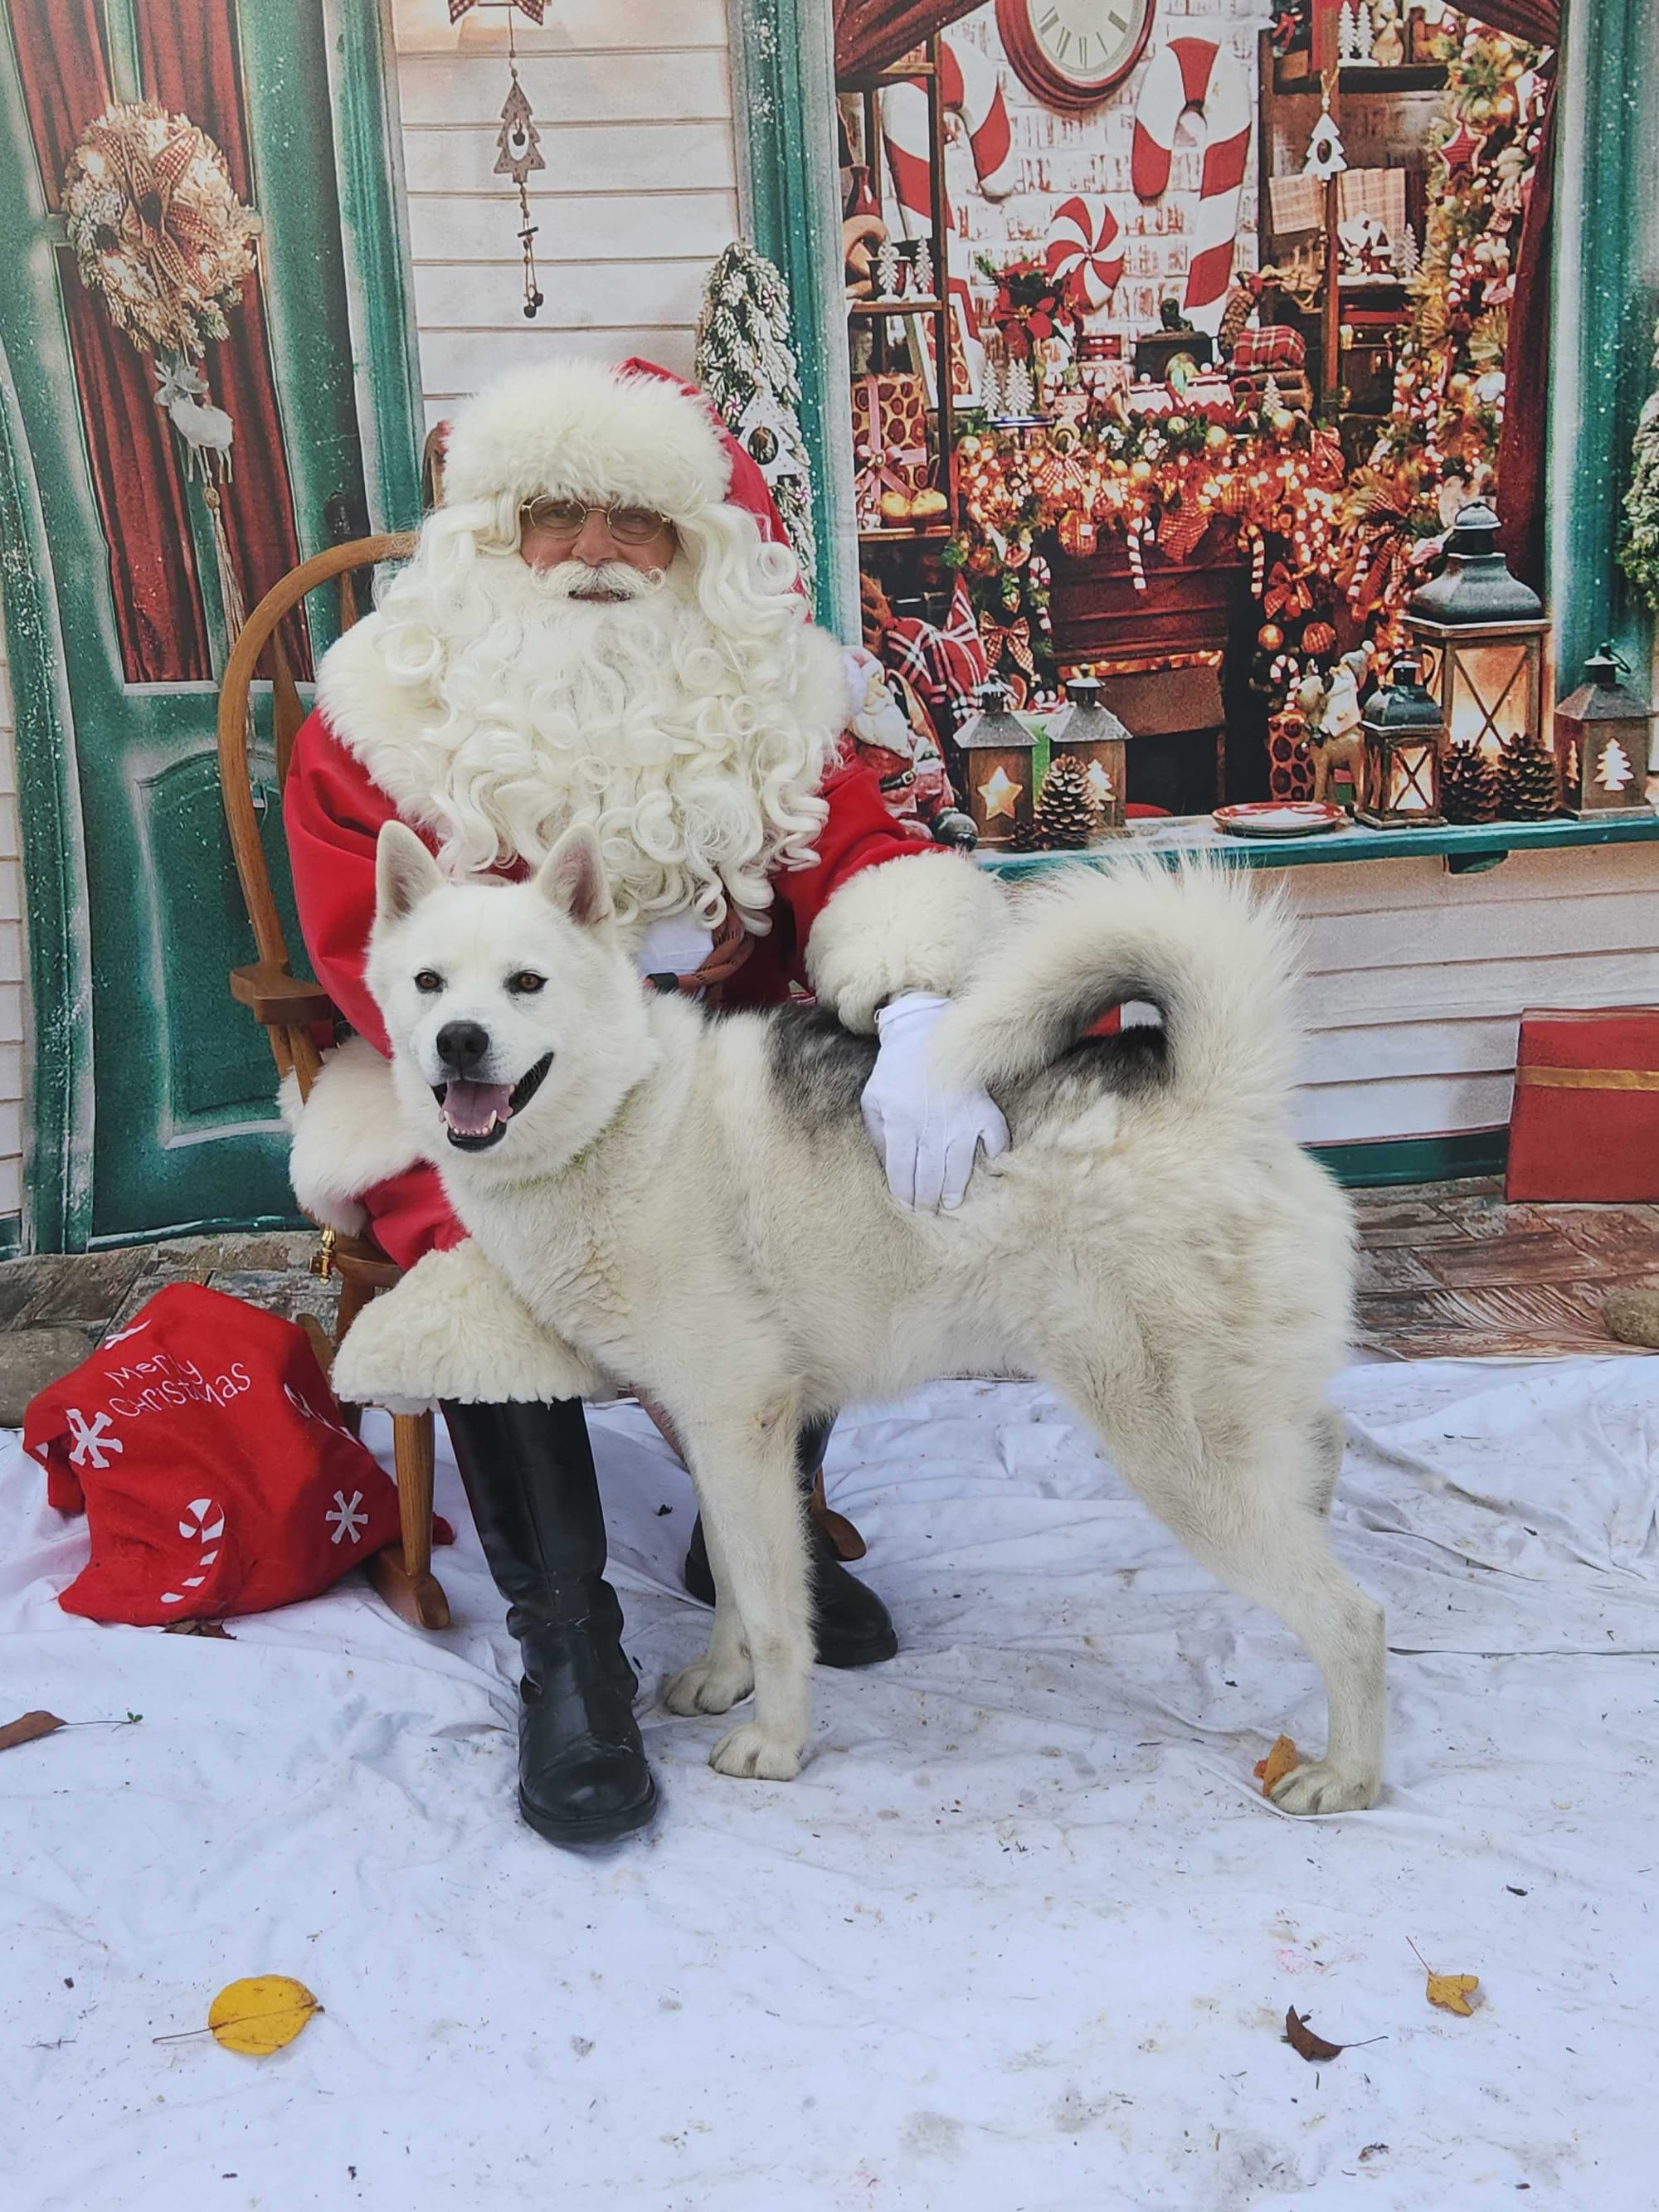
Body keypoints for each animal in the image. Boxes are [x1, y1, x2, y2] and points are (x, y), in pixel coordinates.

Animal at [360, 827, 1389, 1813]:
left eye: (526, 983)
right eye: (428, 983)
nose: (458, 1041)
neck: (623, 1115)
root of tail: (1212, 1093)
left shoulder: (737, 1423)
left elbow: (774, 1613)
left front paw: (775, 1745)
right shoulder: (720, 1435)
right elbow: (730, 1575)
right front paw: (722, 1678)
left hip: (1176, 1458)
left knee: (1352, 1616)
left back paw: (1346, 1774)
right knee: (1323, 1449)